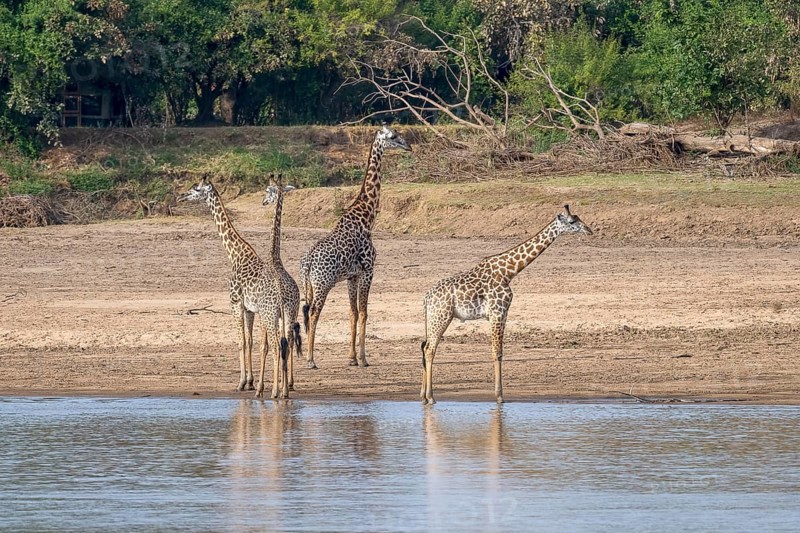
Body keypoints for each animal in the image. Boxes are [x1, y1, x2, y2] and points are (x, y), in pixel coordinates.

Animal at [178, 178, 290, 399]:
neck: (236, 255)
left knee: (275, 345)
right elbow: (250, 341)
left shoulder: (235, 303)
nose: (181, 196)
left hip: (270, 314)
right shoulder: (249, 309)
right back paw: (283, 390)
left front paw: (242, 383)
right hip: (283, 315)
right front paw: (251, 382)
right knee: (283, 345)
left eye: (196, 188)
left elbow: (241, 342)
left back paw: (275, 390)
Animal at [299, 124, 411, 369]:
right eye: (393, 136)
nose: (408, 146)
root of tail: (307, 263)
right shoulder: (369, 270)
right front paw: (363, 359)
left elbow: (352, 312)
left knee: (303, 313)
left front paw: (351, 358)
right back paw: (311, 360)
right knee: (313, 313)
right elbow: (364, 312)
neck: (366, 217)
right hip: (323, 284)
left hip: (309, 286)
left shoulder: (352, 276)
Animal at [420, 205, 593, 404]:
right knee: (430, 349)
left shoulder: (501, 313)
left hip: (434, 318)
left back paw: (423, 396)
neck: (509, 272)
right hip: (441, 316)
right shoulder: (498, 312)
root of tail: (426, 298)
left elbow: (498, 351)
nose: (589, 230)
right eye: (572, 221)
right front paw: (500, 396)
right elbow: (497, 352)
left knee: (425, 347)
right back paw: (431, 397)